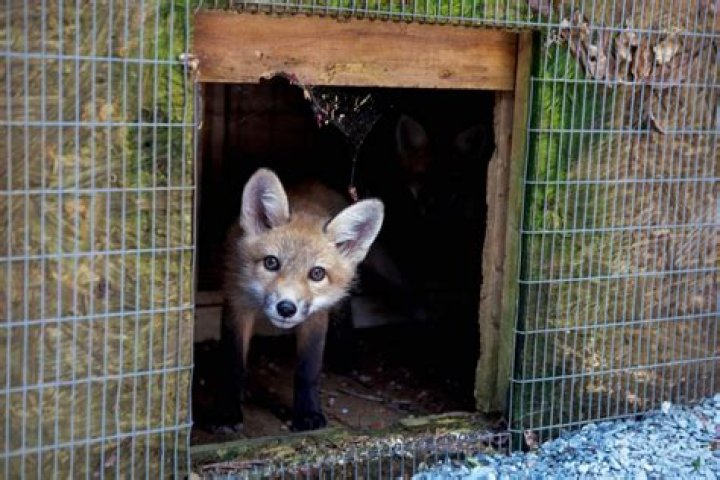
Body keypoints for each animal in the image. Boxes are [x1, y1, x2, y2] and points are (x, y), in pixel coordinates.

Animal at [219, 168, 384, 432]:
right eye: (271, 262)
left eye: (317, 274)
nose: (286, 308)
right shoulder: (237, 301)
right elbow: (233, 364)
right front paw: (227, 412)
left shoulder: (315, 316)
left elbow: (308, 371)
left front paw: (308, 413)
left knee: (344, 308)